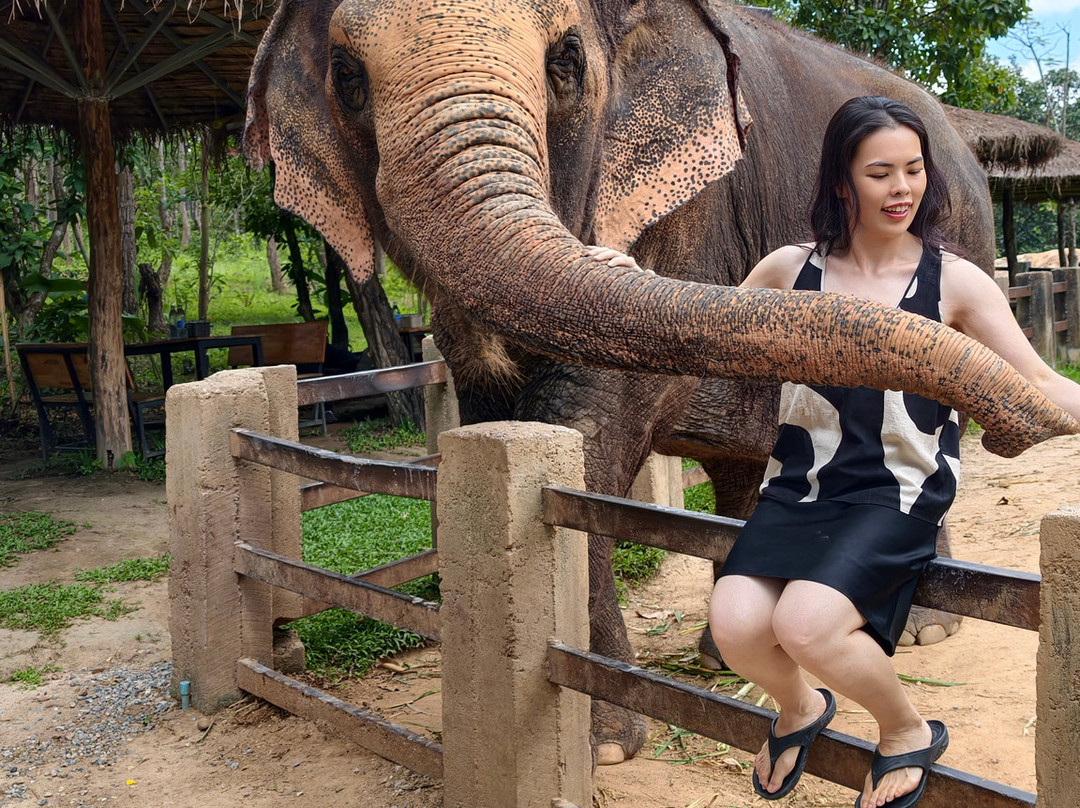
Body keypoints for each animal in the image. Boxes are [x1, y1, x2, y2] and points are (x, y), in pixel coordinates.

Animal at [245, 0, 1079, 763]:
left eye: (566, 62)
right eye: (346, 76)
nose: (1027, 426)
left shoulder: (679, 220)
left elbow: (584, 440)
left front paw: (601, 750)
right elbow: (488, 418)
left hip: (965, 232)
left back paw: (921, 633)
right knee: (746, 465)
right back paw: (725, 654)